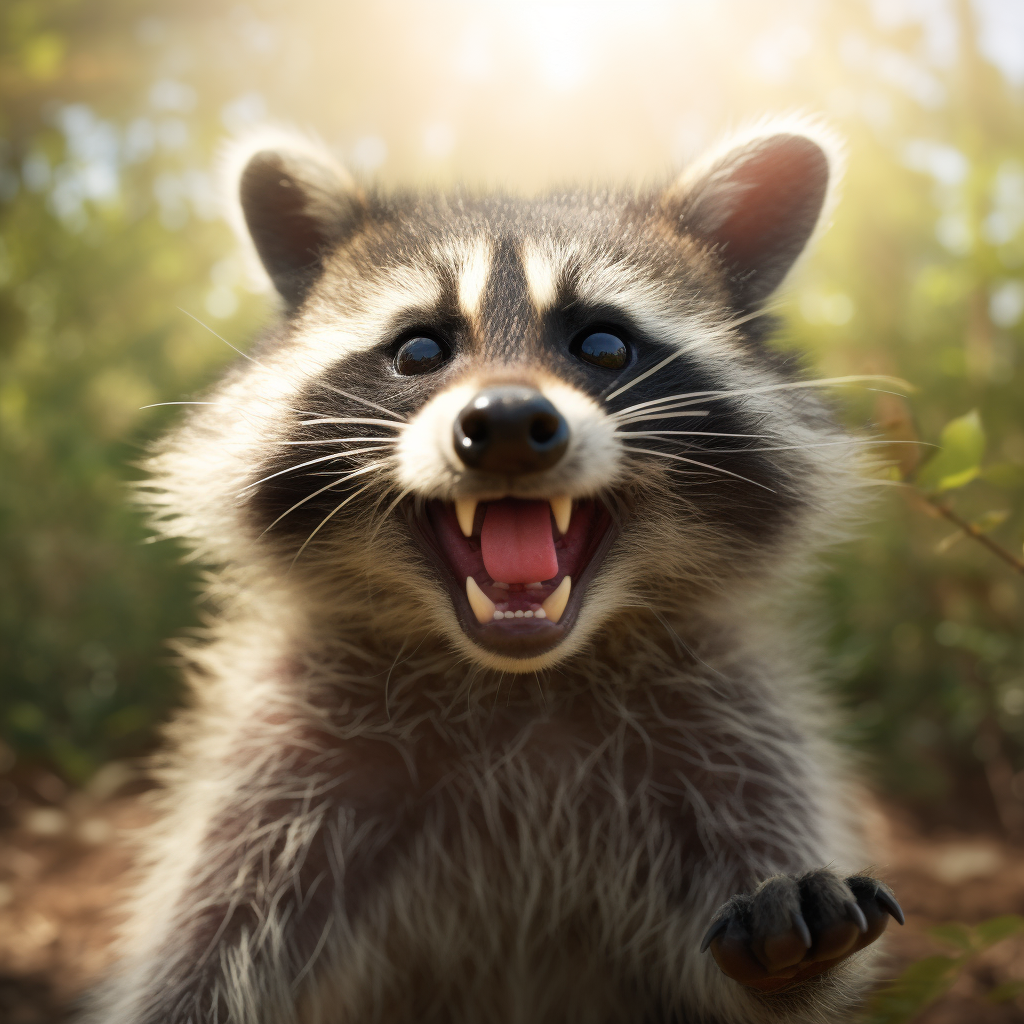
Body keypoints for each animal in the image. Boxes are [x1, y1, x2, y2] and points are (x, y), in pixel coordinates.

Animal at [88, 121, 905, 1024]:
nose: (509, 421)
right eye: (419, 347)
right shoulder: (288, 757)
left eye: (604, 344)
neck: (515, 677)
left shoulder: (729, 724)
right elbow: (202, 962)